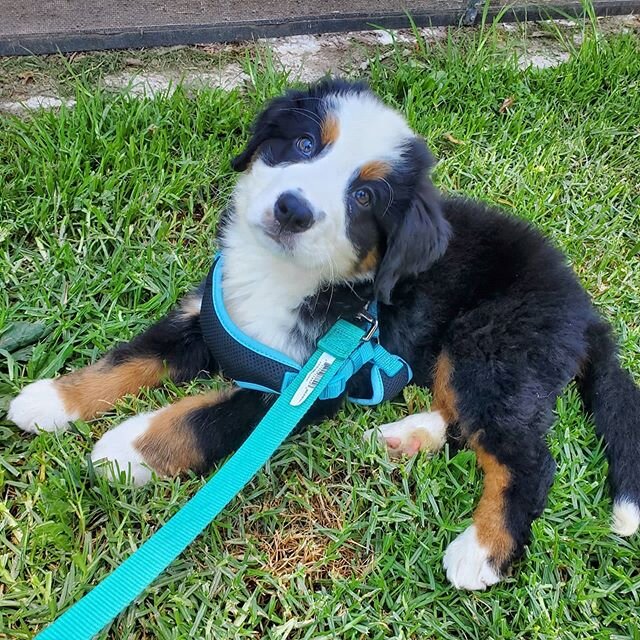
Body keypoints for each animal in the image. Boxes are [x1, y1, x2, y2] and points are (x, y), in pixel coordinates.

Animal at [10, 80, 640, 592]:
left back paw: (481, 552)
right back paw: (402, 439)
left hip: (491, 345)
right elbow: (129, 359)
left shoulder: (306, 386)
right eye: (306, 144)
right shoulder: (203, 319)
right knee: (464, 422)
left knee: (525, 457)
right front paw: (51, 400)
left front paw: (128, 450)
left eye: (364, 197)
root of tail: (584, 309)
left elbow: (206, 417)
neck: (281, 276)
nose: (293, 209)